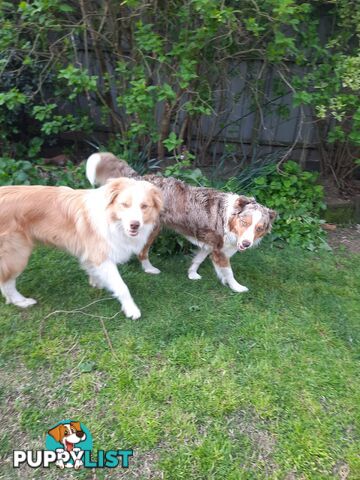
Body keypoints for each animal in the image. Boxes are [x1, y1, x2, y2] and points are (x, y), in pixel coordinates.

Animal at [0, 177, 162, 318]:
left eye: (144, 206)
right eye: (124, 204)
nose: (135, 225)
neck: (113, 220)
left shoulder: (91, 253)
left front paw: (97, 282)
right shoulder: (102, 256)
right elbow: (122, 286)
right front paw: (131, 309)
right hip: (17, 253)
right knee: (6, 282)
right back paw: (21, 301)